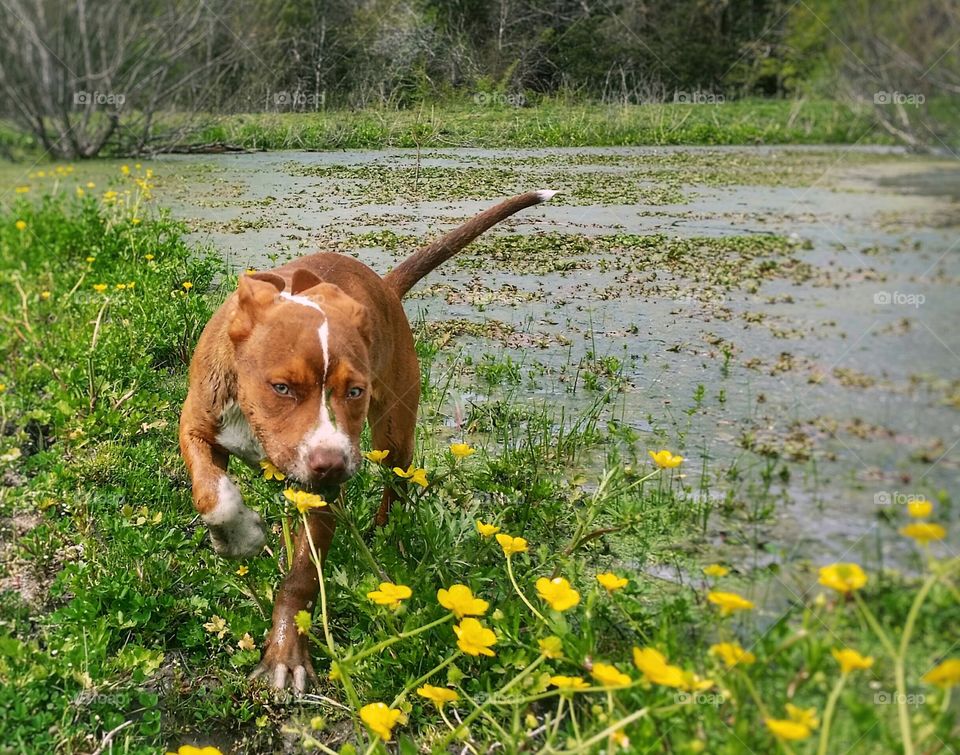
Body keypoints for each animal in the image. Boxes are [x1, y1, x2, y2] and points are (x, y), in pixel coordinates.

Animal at [180, 190, 556, 692]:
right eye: (282, 388)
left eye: (354, 391)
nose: (332, 464)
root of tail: (385, 286)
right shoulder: (196, 424)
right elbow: (212, 493)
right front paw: (239, 537)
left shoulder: (324, 493)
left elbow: (302, 576)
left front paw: (285, 653)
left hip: (395, 433)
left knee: (395, 484)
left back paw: (383, 532)